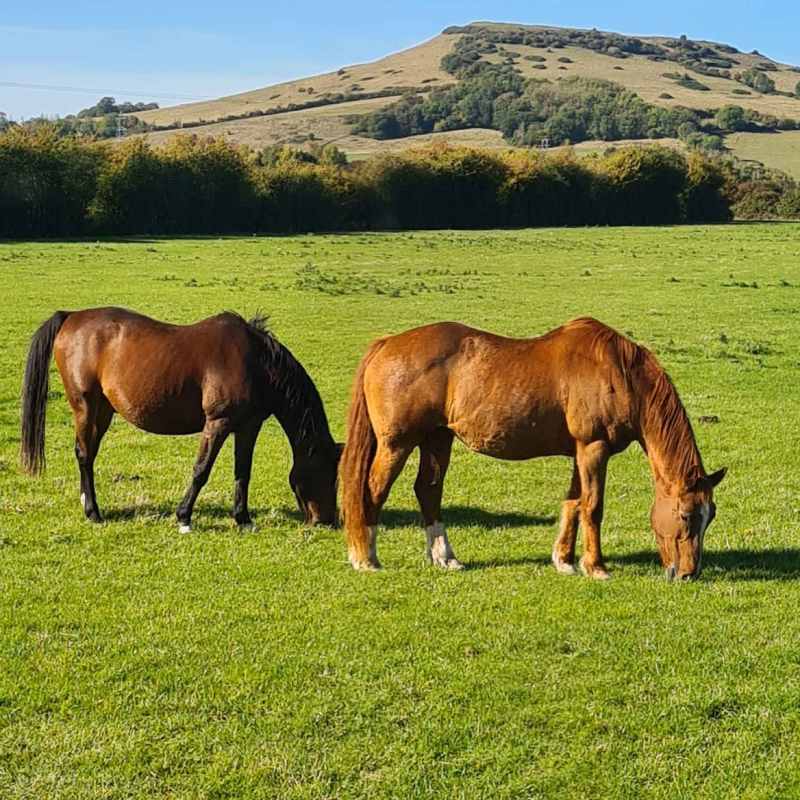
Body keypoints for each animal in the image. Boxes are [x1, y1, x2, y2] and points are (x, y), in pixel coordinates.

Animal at [18, 310, 338, 528]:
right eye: (326, 474)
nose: (326, 520)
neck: (257, 364)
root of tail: (71, 316)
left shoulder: (248, 426)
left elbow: (243, 472)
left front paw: (243, 519)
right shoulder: (218, 423)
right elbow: (201, 470)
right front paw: (184, 517)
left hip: (103, 411)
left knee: (89, 454)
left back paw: (88, 502)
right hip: (85, 406)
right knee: (84, 455)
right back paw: (93, 513)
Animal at [338, 318, 724, 580]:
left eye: (711, 516)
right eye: (686, 515)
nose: (689, 572)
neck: (619, 374)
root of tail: (387, 343)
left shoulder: (579, 452)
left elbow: (573, 504)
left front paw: (564, 560)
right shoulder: (593, 448)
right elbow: (592, 507)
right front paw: (596, 566)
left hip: (437, 438)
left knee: (428, 491)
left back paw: (445, 556)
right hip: (397, 444)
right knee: (372, 491)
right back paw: (366, 557)